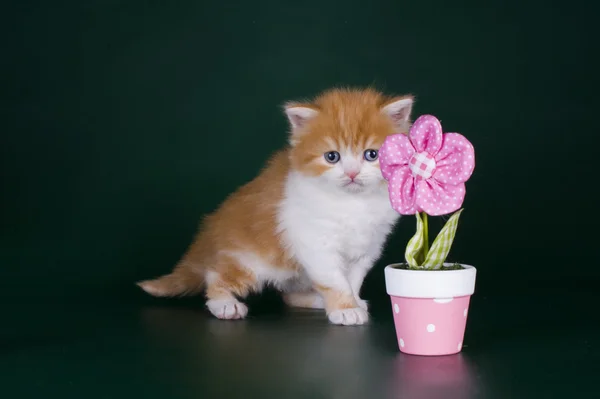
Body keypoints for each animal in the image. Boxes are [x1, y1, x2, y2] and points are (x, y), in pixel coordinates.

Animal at [138, 87, 414, 324]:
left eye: (372, 154)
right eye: (332, 157)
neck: (353, 202)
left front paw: (353, 300)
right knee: (215, 275)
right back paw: (225, 304)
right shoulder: (314, 241)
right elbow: (334, 278)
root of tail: (211, 231)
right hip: (249, 260)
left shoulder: (368, 243)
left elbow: (353, 277)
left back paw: (316, 300)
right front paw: (345, 309)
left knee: (289, 296)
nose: (352, 173)